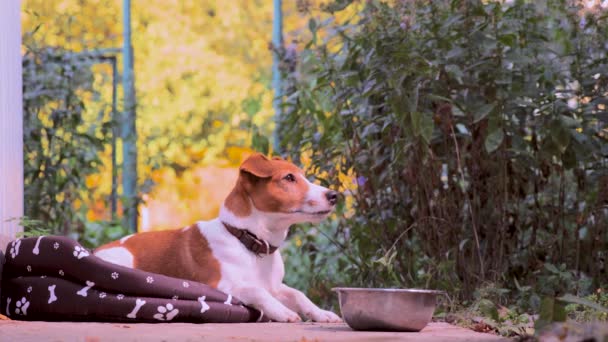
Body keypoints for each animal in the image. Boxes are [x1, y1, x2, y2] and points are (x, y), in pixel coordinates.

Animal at [95, 154, 342, 322]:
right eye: (289, 178)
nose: (334, 195)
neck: (249, 242)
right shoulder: (222, 285)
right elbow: (256, 290)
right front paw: (283, 311)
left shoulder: (275, 287)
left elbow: (299, 294)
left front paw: (322, 313)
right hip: (122, 260)